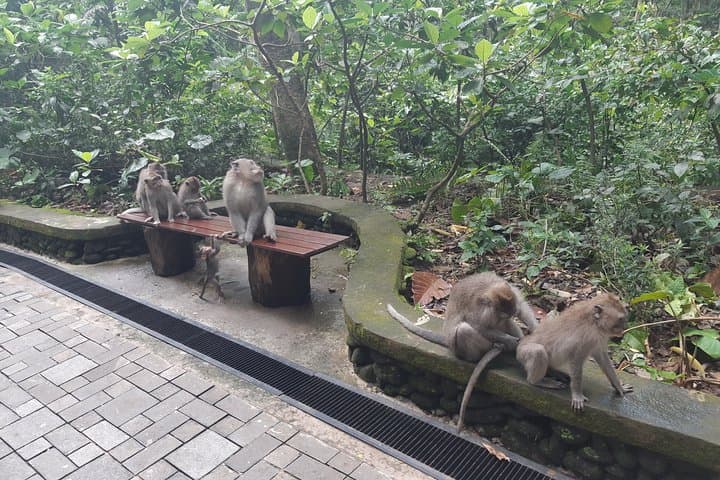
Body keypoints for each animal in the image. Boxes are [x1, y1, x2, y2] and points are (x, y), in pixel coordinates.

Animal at [387, 271, 538, 431]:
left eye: (513, 311)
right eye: (503, 312)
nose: (512, 313)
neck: (489, 290)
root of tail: (448, 342)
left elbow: (522, 309)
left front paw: (533, 330)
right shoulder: (480, 311)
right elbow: (480, 326)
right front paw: (511, 341)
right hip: (460, 346)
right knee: (464, 330)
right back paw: (487, 352)